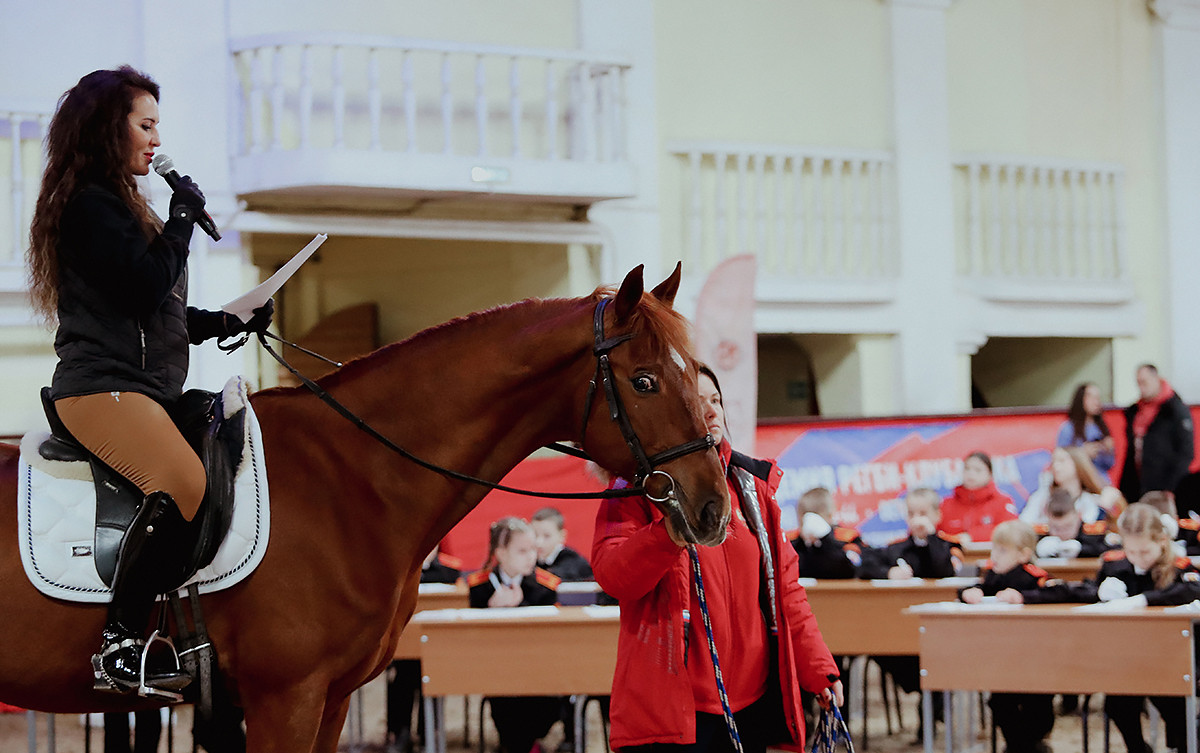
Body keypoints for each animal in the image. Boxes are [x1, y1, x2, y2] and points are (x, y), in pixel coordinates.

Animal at [0, 264, 729, 753]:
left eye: (697, 375)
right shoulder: (285, 697)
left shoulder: (330, 698)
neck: (351, 475)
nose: (714, 508)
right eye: (645, 381)